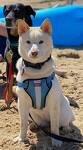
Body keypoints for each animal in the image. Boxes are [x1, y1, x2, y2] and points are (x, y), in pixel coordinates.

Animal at [16, 18, 74, 146]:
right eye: (28, 42)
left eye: (41, 42)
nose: (34, 53)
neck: (36, 71)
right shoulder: (22, 103)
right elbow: (22, 123)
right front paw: (22, 138)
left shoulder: (53, 104)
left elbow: (55, 127)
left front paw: (56, 141)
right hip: (32, 114)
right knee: (40, 123)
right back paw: (34, 125)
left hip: (63, 111)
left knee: (64, 122)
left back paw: (66, 128)